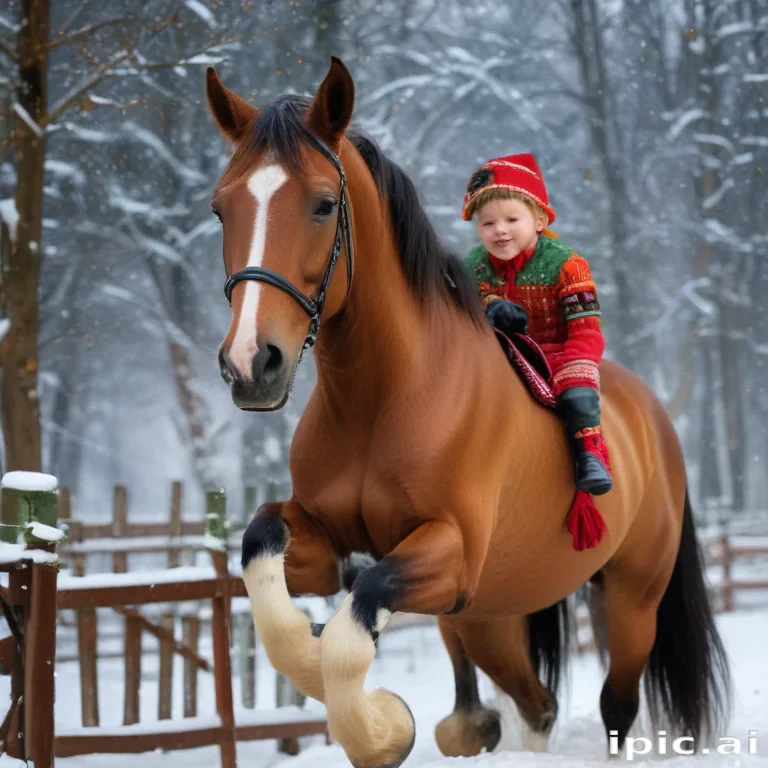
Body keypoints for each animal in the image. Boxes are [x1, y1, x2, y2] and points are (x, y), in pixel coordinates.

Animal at [205, 57, 731, 767]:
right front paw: (320, 659)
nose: (250, 362)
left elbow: (358, 613)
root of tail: (654, 421)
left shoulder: (448, 552)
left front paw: (379, 728)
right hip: (491, 615)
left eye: (322, 204)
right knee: (537, 705)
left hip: (629, 598)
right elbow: (265, 549)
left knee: (615, 708)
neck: (385, 397)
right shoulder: (330, 540)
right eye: (221, 208)